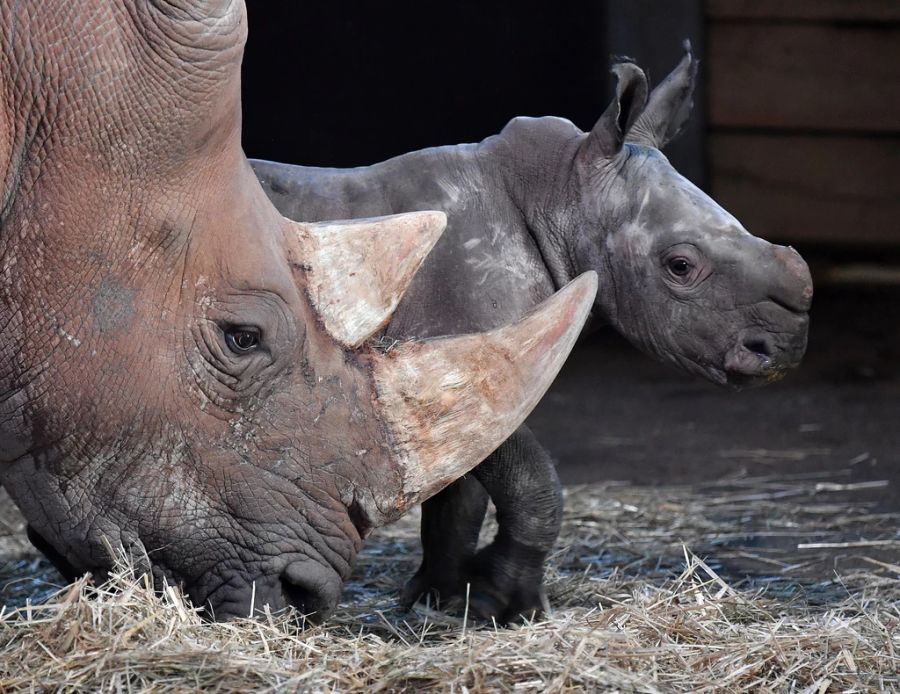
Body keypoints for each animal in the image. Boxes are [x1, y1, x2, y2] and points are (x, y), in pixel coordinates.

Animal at [253, 44, 816, 624]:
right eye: (680, 266)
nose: (783, 348)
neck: (563, 193)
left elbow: (459, 495)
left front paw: (443, 598)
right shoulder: (466, 367)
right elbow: (532, 484)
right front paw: (506, 604)